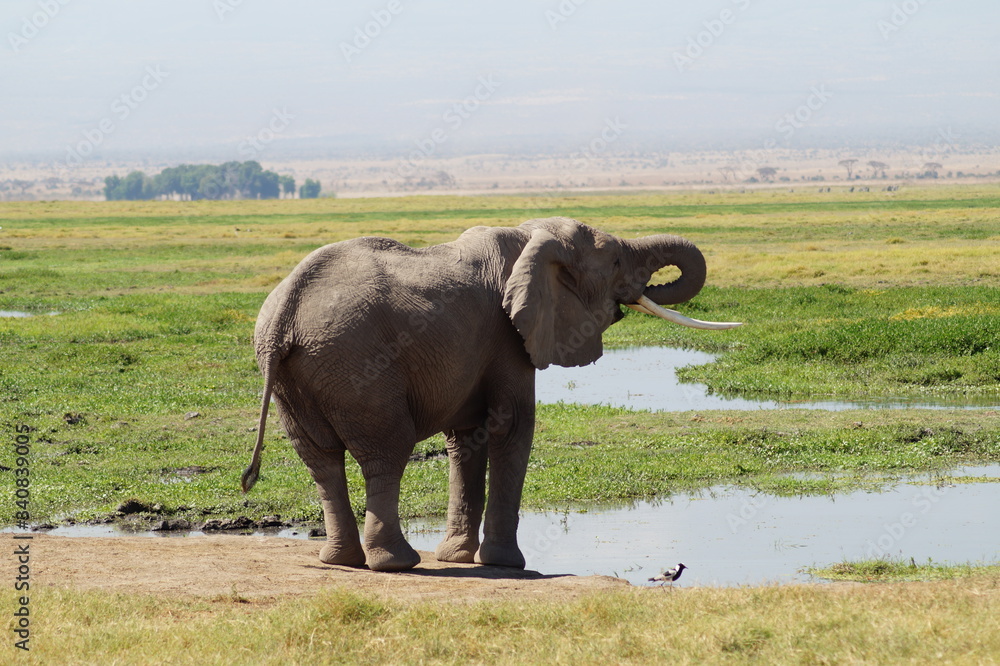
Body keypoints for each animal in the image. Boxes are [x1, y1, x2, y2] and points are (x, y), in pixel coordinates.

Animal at [241, 216, 738, 572]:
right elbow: (512, 426)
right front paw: (505, 564)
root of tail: (285, 311)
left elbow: (467, 437)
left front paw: (458, 558)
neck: (531, 234)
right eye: (615, 262)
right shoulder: (509, 337)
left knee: (321, 459)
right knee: (385, 452)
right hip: (357, 366)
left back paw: (342, 562)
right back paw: (398, 563)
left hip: (297, 376)